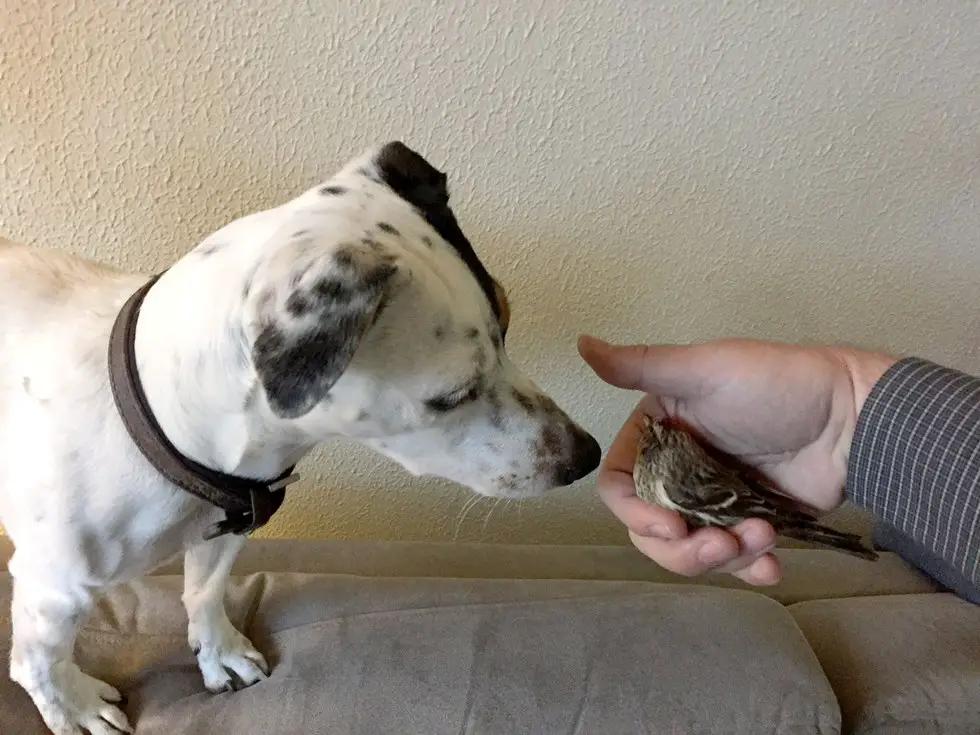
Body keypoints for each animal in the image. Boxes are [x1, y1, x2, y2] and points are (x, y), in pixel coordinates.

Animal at [0, 141, 600, 732]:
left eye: (508, 322)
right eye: (451, 397)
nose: (587, 457)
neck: (162, 424)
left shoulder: (226, 528)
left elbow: (205, 591)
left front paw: (217, 651)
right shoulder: (54, 593)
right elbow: (41, 665)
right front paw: (74, 709)